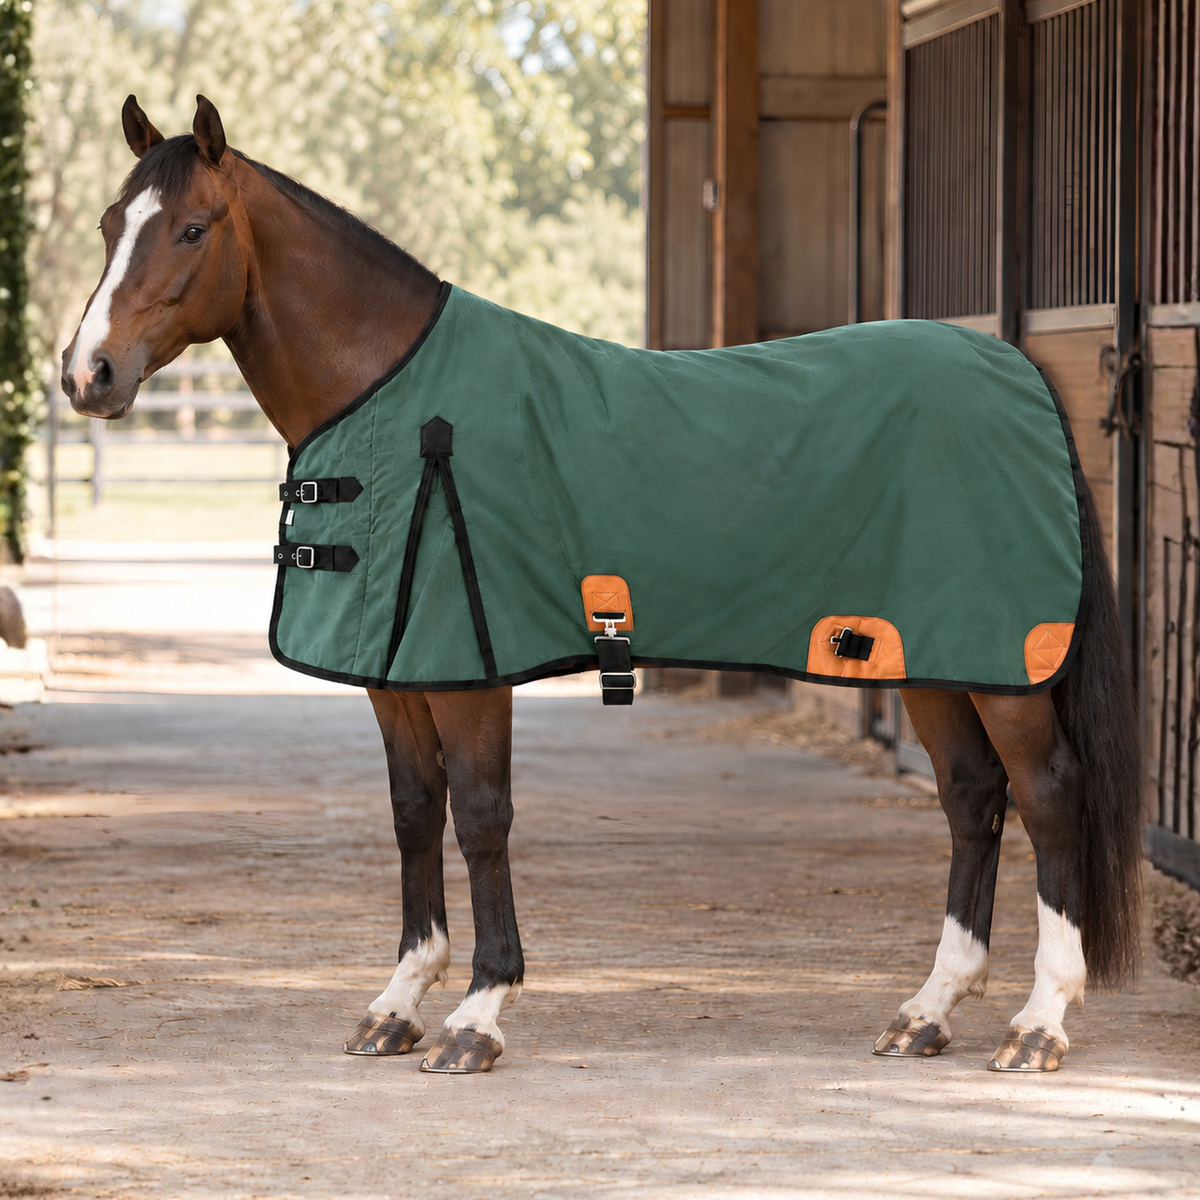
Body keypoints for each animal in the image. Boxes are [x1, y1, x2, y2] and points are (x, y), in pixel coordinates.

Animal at [60, 95, 1142, 1075]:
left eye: (192, 228)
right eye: (112, 223)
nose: (87, 375)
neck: (394, 401)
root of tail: (1017, 372)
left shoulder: (472, 673)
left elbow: (480, 818)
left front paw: (477, 1016)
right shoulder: (394, 675)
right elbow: (414, 815)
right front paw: (397, 1005)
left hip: (1003, 668)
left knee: (1048, 796)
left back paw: (1039, 1023)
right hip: (930, 657)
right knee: (971, 798)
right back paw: (928, 1011)